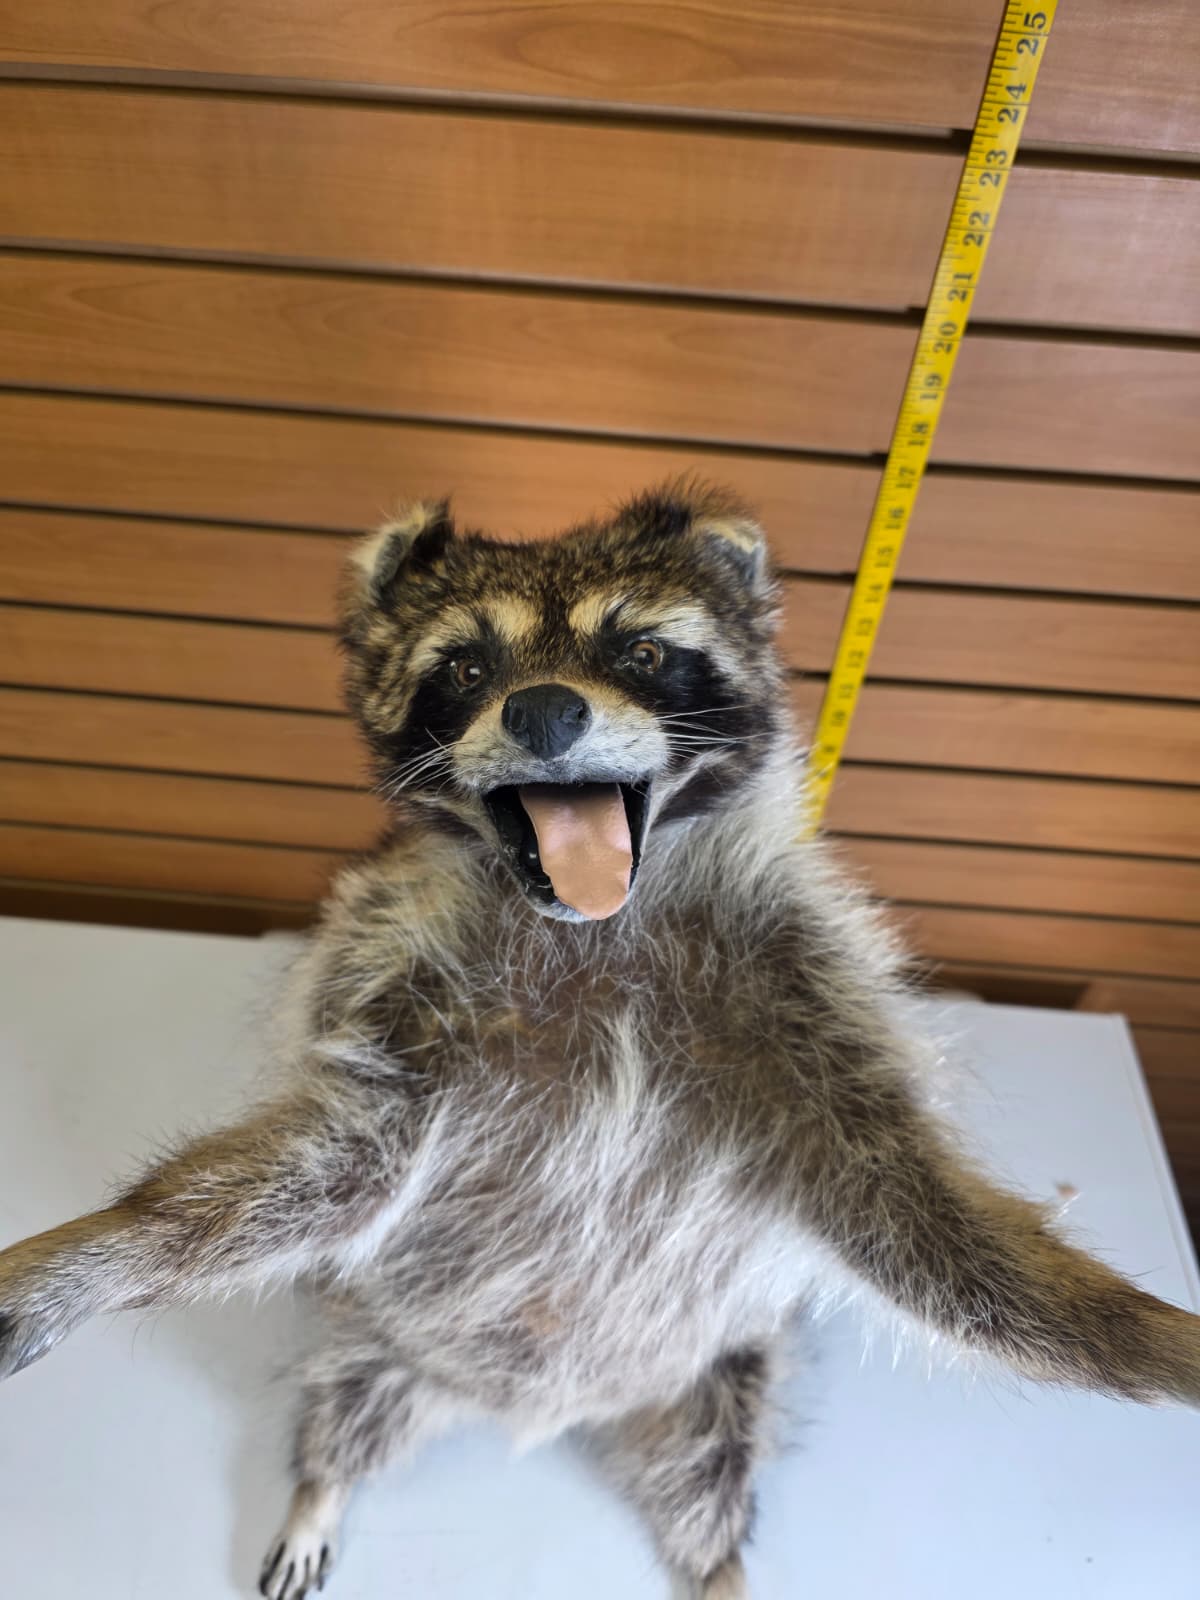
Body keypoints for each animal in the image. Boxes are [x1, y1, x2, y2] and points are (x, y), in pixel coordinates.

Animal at [1, 481, 1198, 1600]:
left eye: (644, 652)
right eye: (463, 670)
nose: (540, 709)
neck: (593, 927)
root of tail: (533, 1407)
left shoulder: (811, 989)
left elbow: (917, 1218)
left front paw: (1144, 1331)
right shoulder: (390, 981)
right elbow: (336, 1169)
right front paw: (98, 1253)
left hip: (725, 1376)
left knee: (719, 1467)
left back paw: (719, 1564)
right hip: (382, 1342)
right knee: (344, 1402)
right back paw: (319, 1487)